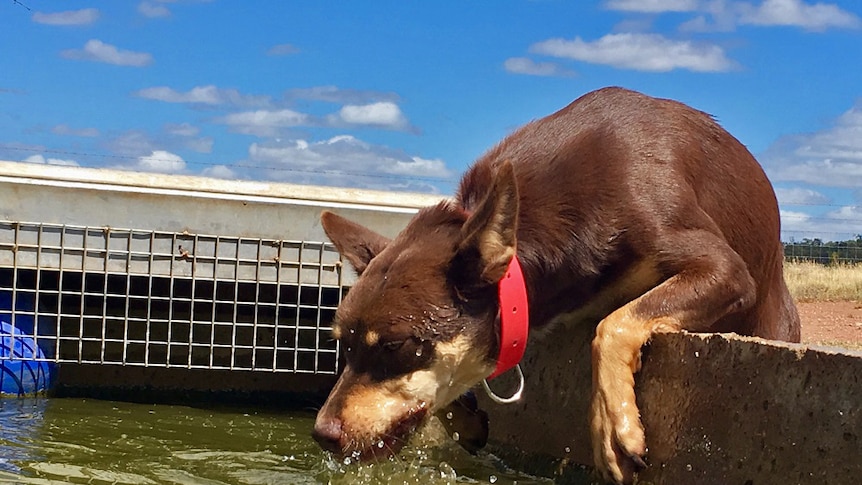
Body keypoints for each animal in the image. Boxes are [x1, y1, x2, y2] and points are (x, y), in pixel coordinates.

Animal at [310, 88, 804, 484]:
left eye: (396, 346)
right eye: (342, 345)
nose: (321, 434)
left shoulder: (724, 268)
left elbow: (612, 324)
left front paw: (612, 425)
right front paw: (467, 416)